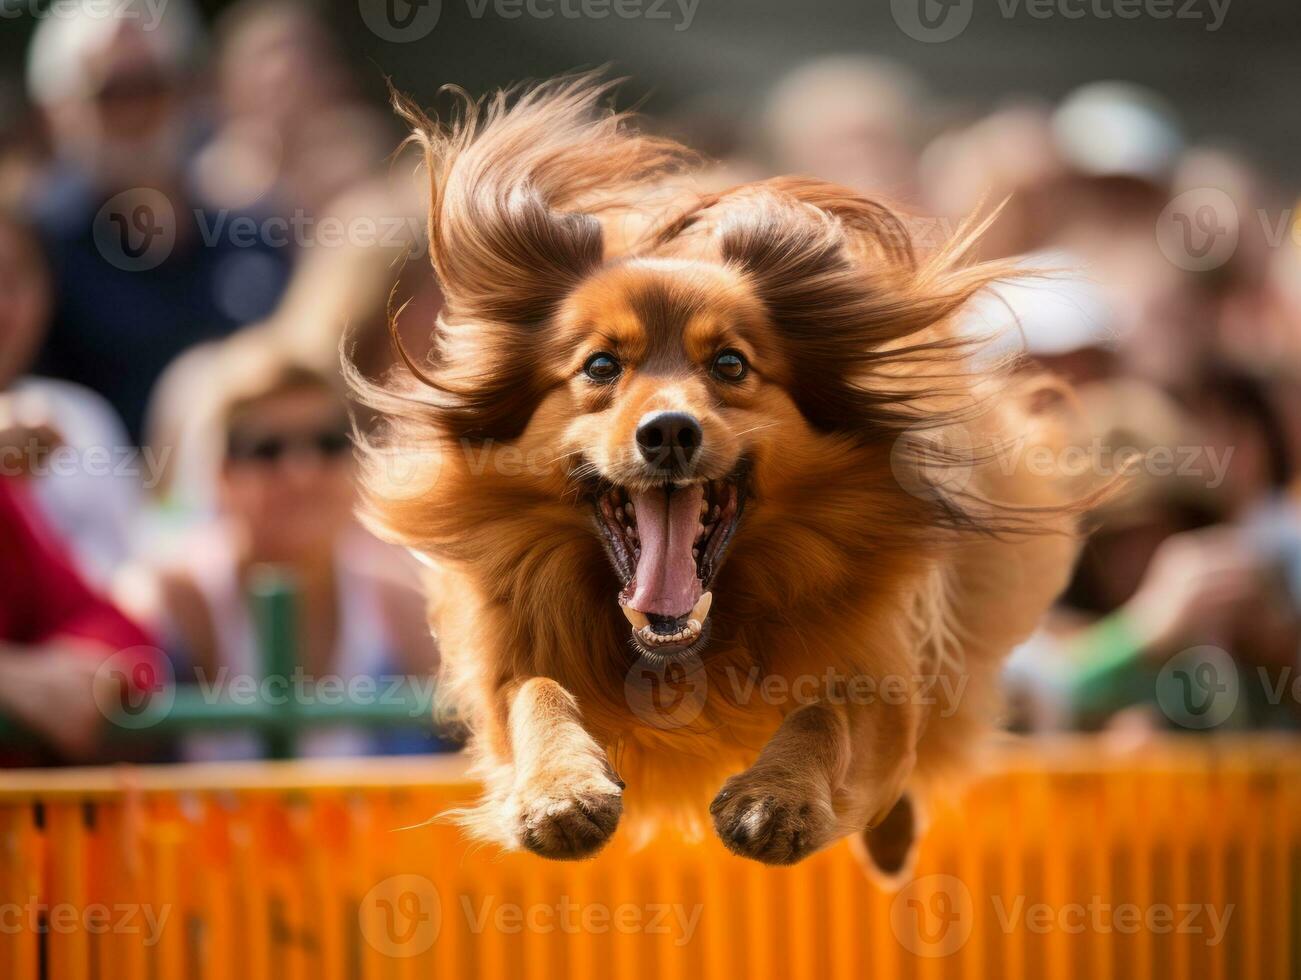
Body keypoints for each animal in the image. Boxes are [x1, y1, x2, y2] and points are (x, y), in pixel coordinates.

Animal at [353, 80, 1087, 869]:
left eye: (730, 363)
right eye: (601, 365)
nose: (670, 431)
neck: (682, 647)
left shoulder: (883, 672)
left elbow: (830, 711)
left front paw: (780, 797)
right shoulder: (509, 659)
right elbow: (535, 692)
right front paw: (560, 790)